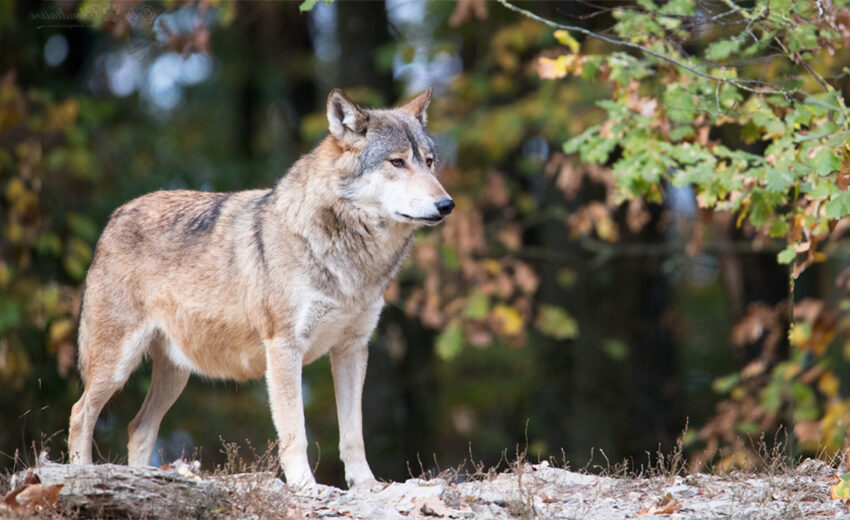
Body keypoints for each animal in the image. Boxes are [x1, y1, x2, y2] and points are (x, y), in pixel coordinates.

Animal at [68, 87, 450, 490]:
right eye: (397, 162)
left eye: (429, 162)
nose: (447, 204)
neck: (350, 258)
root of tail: (114, 216)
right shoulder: (283, 347)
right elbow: (295, 431)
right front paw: (305, 486)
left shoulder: (352, 349)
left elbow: (353, 433)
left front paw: (366, 485)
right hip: (118, 365)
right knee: (81, 412)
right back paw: (82, 473)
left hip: (176, 373)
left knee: (138, 428)